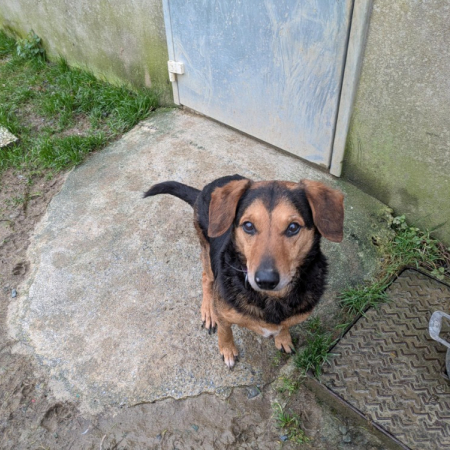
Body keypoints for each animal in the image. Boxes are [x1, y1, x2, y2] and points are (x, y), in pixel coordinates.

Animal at [144, 175, 344, 368]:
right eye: (248, 226)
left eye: (293, 227)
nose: (266, 280)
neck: (271, 300)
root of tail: (205, 190)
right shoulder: (224, 316)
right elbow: (225, 332)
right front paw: (227, 350)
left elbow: (285, 324)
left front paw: (283, 338)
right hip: (207, 250)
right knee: (206, 278)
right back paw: (208, 310)